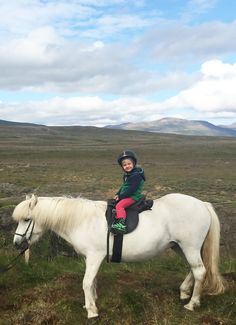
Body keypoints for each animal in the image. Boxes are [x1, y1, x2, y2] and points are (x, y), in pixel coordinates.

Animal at [12, 194, 224, 318]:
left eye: (27, 219)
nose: (16, 243)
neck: (82, 220)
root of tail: (202, 204)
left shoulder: (95, 256)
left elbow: (86, 282)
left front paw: (91, 311)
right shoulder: (90, 258)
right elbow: (92, 281)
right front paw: (91, 302)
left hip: (189, 247)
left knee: (199, 271)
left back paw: (192, 304)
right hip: (180, 247)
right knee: (194, 268)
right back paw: (184, 291)